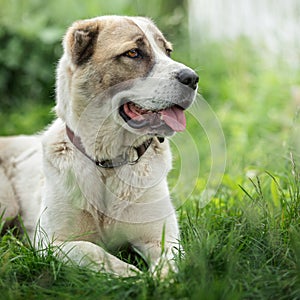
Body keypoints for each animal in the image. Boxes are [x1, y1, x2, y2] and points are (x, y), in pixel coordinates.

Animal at [0, 15, 198, 276]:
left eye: (167, 51)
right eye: (133, 53)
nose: (192, 78)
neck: (108, 162)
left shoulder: (162, 238)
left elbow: (168, 265)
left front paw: (157, 280)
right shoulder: (53, 243)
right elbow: (95, 253)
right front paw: (135, 277)